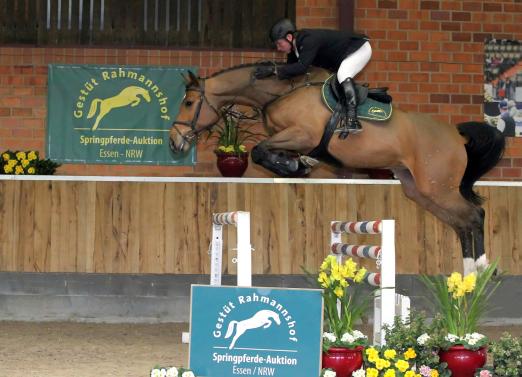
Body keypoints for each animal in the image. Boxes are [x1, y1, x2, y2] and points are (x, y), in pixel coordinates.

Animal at [169, 61, 502, 274]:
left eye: (188, 103)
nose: (174, 142)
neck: (281, 92)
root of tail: (456, 134)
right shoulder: (290, 139)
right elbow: (267, 153)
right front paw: (296, 165)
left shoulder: (302, 135)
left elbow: (258, 151)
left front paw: (293, 166)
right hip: (420, 191)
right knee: (462, 223)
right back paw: (469, 275)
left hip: (437, 187)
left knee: (475, 215)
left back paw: (482, 268)